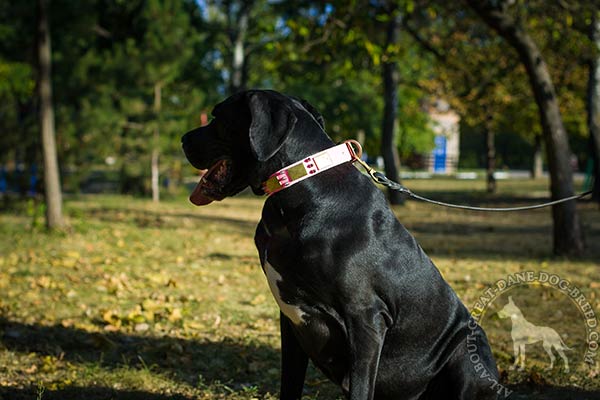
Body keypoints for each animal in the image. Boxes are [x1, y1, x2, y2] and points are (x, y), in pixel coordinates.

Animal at [180, 90, 500, 400]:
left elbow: (360, 388)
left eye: (218, 117)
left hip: (465, 354)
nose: (183, 139)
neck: (297, 186)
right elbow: (290, 384)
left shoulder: (365, 317)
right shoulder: (292, 320)